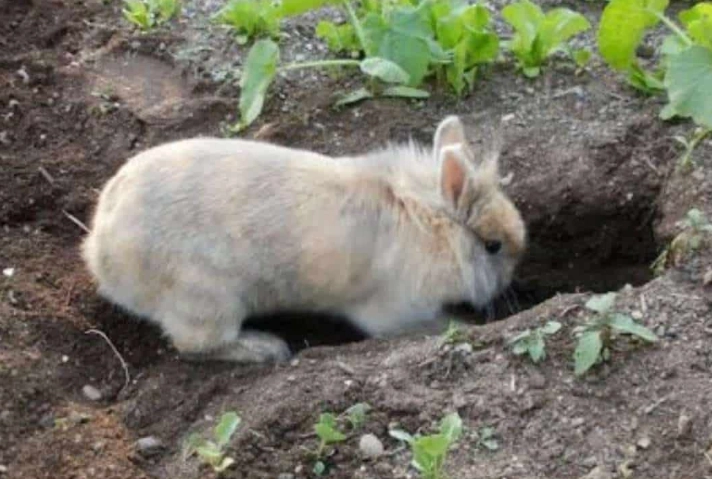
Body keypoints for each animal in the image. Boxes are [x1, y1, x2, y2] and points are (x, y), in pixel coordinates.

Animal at [81, 115, 526, 363]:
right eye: (493, 246)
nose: (510, 280)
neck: (429, 219)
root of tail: (100, 252)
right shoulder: (394, 313)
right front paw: (464, 324)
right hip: (207, 300)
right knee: (197, 346)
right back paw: (268, 348)